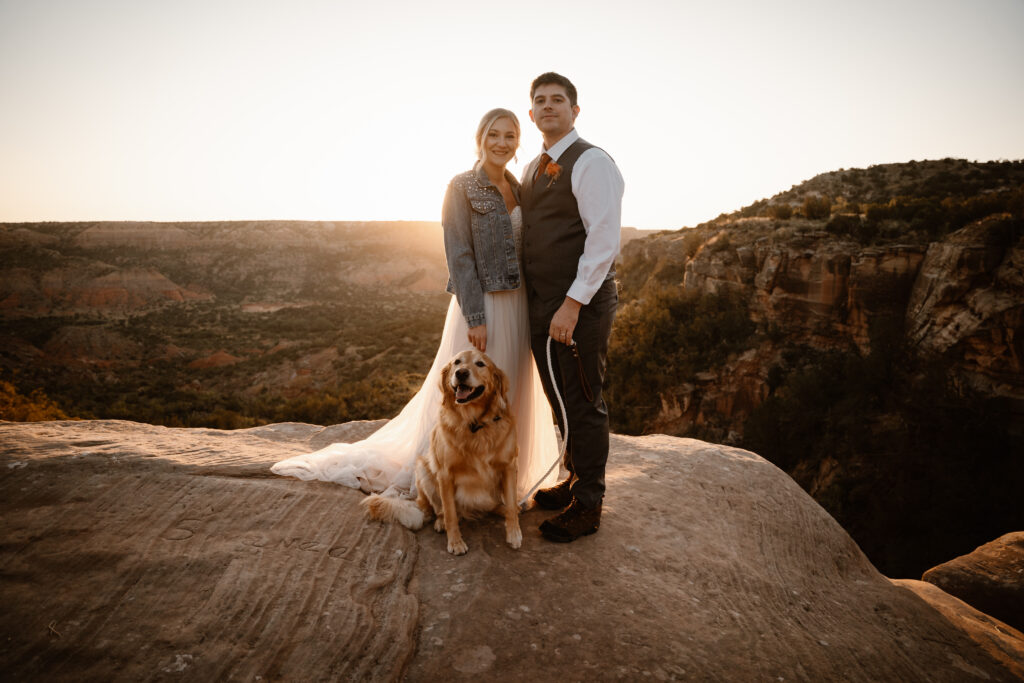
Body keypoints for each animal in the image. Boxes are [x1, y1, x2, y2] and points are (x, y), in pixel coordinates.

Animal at [360, 348, 520, 557]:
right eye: (457, 362)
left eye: (480, 364)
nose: (461, 373)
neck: (474, 424)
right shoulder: (445, 473)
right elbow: (450, 512)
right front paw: (455, 542)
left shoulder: (509, 466)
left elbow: (511, 504)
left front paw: (514, 533)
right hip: (423, 469)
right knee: (441, 510)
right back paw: (440, 522)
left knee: (493, 506)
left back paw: (502, 508)